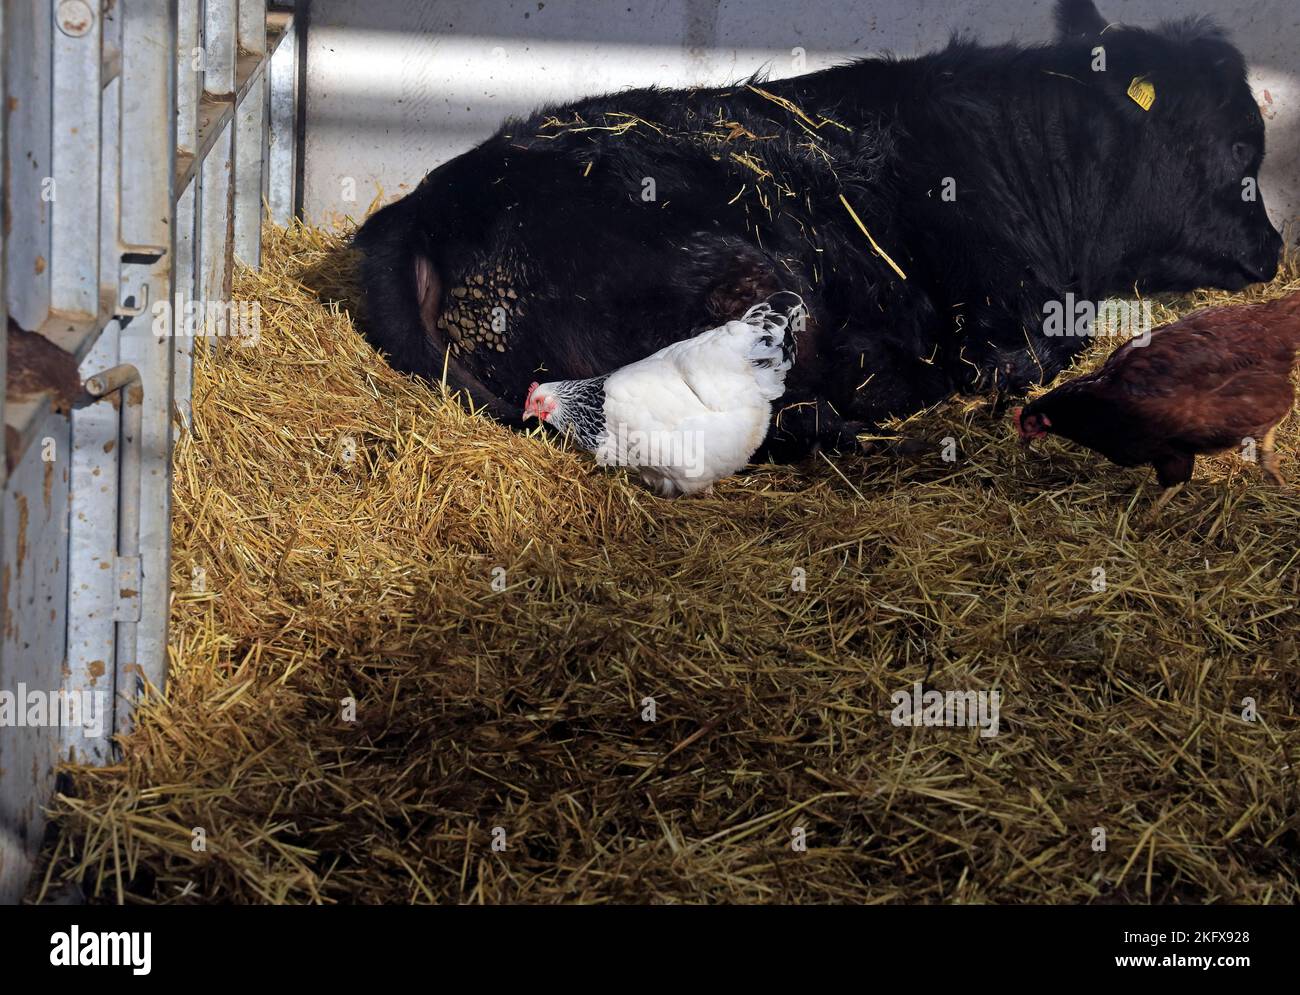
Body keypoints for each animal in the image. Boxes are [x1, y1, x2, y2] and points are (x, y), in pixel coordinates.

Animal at [353, 0, 1282, 461]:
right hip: (749, 287)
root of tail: (423, 206)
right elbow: (1025, 362)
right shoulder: (1006, 327)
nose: (1274, 250)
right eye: (1243, 146)